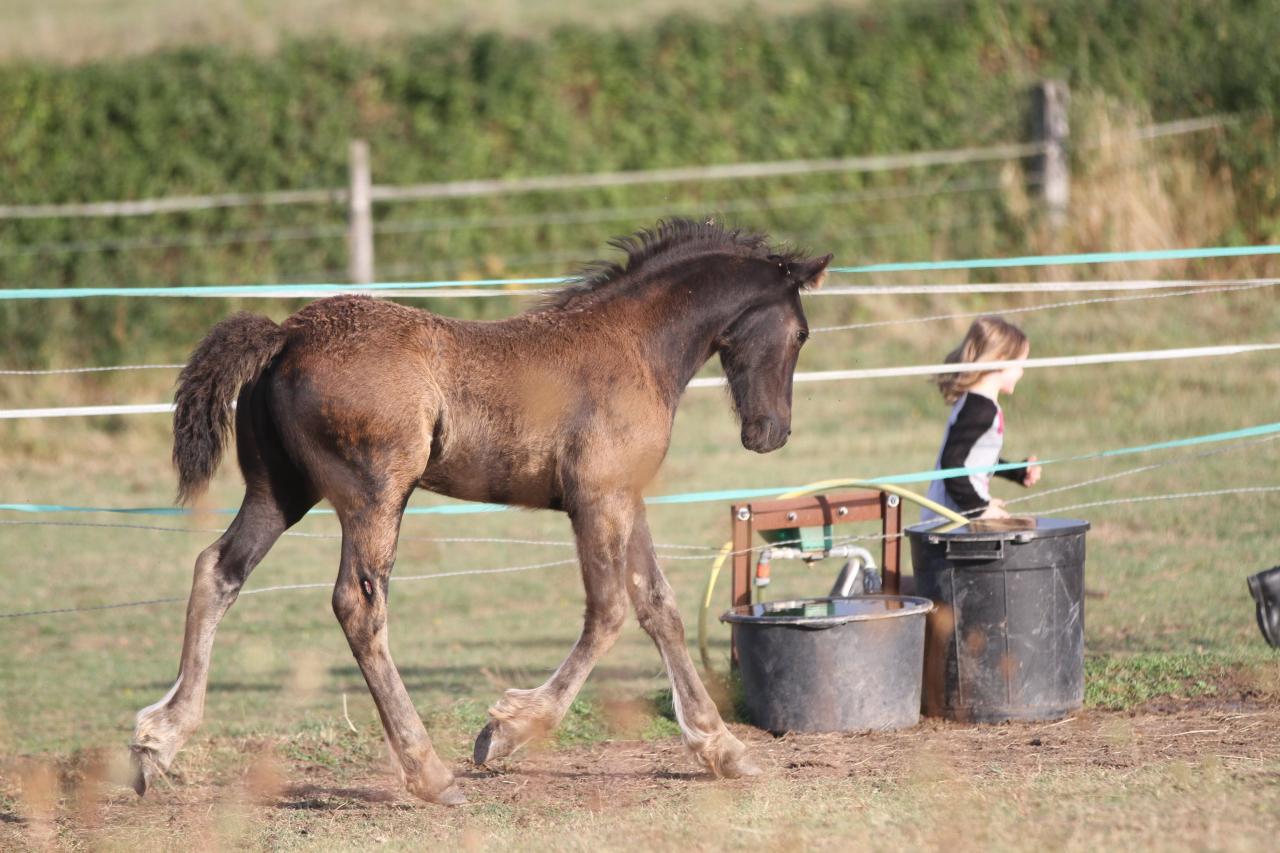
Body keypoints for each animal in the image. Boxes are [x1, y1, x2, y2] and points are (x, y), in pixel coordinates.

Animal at [129, 216, 829, 799]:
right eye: (801, 332)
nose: (771, 432)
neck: (634, 345)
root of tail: (284, 337)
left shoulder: (626, 495)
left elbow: (660, 607)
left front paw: (723, 748)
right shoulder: (597, 498)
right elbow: (609, 612)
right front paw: (507, 731)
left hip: (280, 492)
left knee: (218, 569)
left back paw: (157, 742)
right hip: (375, 496)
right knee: (359, 606)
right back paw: (429, 773)